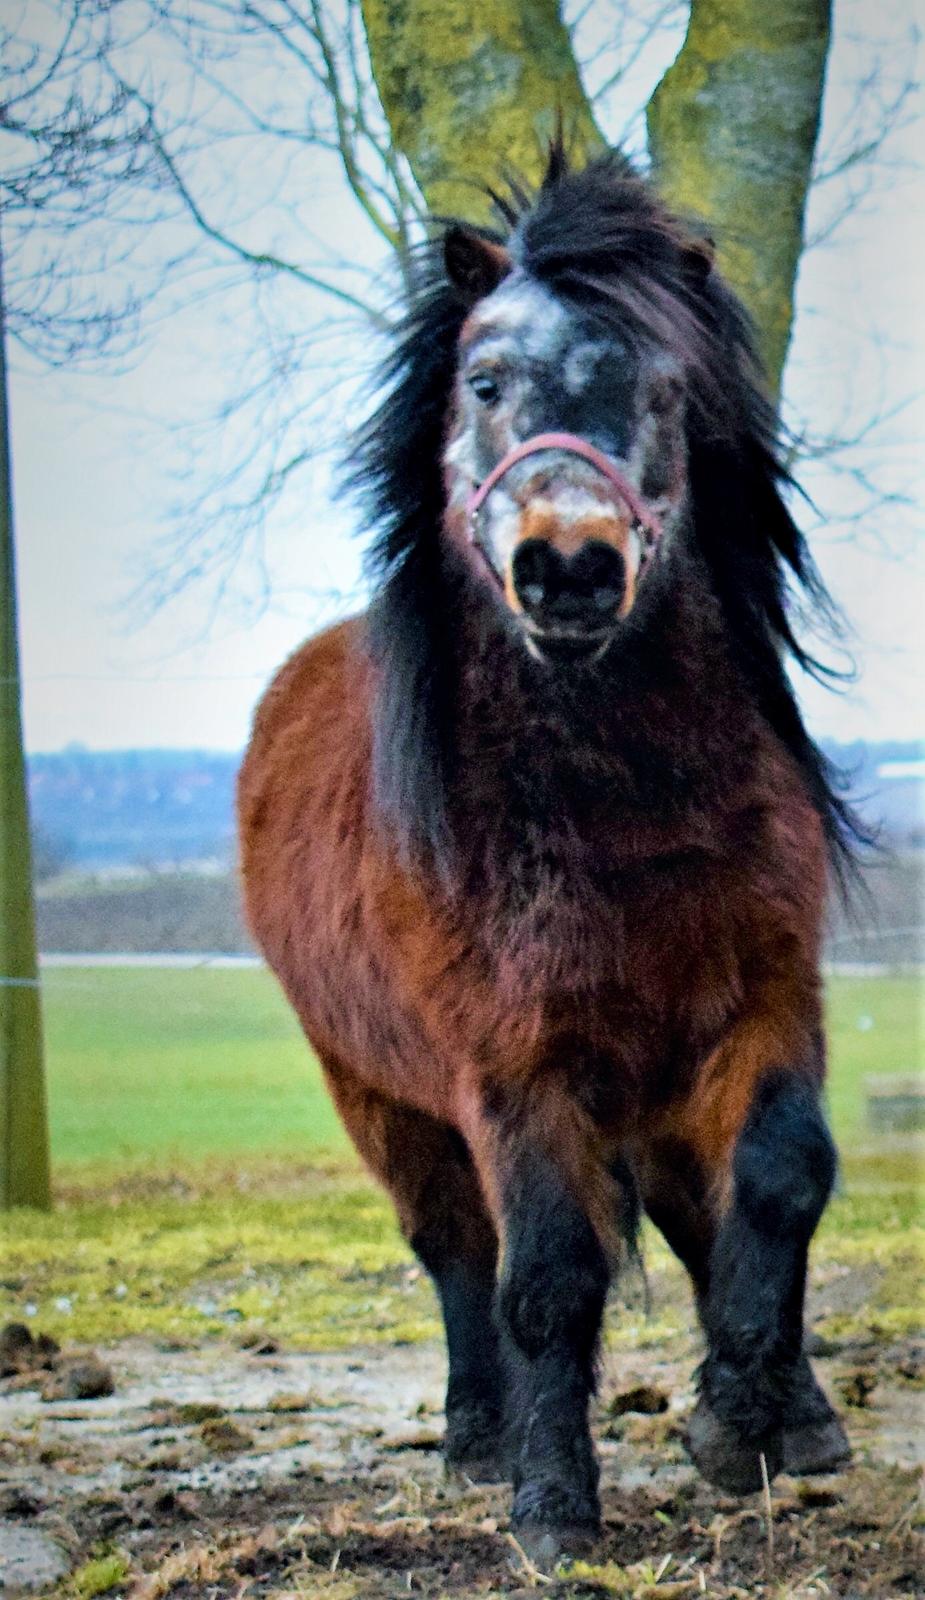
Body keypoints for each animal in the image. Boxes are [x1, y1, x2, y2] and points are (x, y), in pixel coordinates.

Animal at [238, 145, 859, 1560]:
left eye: (664, 387)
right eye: (482, 381)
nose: (567, 566)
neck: (615, 812)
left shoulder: (761, 998)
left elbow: (780, 1182)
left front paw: (743, 1420)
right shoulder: (512, 1067)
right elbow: (548, 1278)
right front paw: (553, 1506)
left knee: (695, 1212)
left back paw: (793, 1417)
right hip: (385, 1098)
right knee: (455, 1251)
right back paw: (477, 1438)